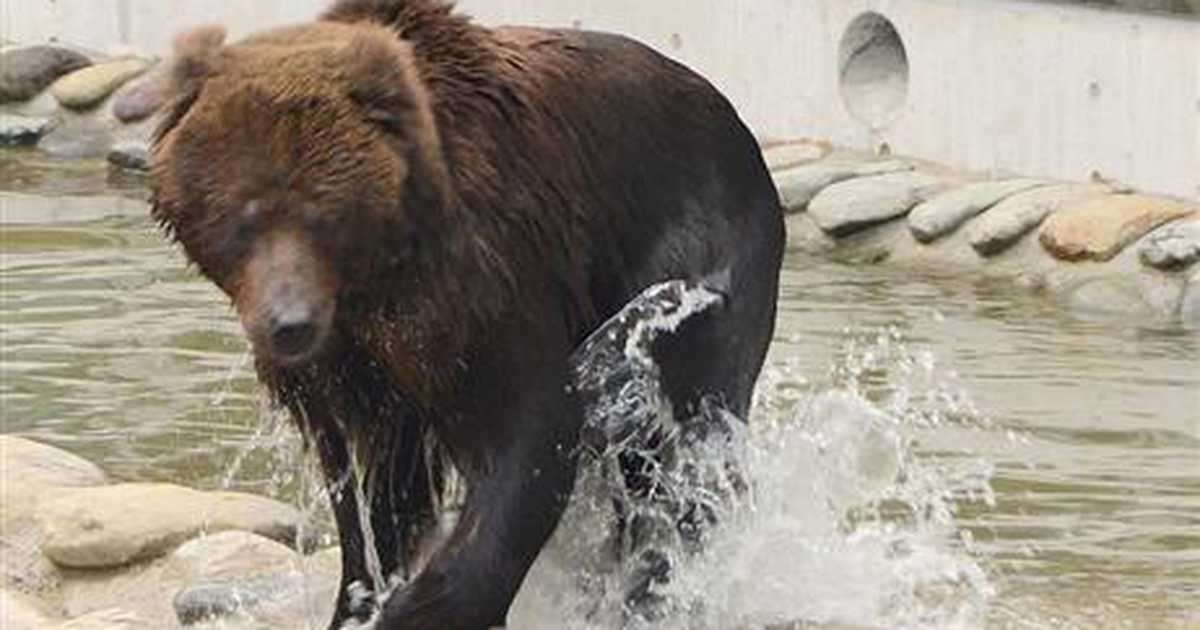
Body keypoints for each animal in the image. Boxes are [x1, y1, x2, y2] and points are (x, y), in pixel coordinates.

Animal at [150, 1, 784, 628]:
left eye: (323, 215)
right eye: (242, 218)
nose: (289, 324)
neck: (381, 275)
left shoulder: (481, 282)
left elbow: (529, 428)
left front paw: (419, 606)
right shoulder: (350, 369)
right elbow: (370, 493)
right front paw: (362, 598)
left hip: (697, 237)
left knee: (679, 442)